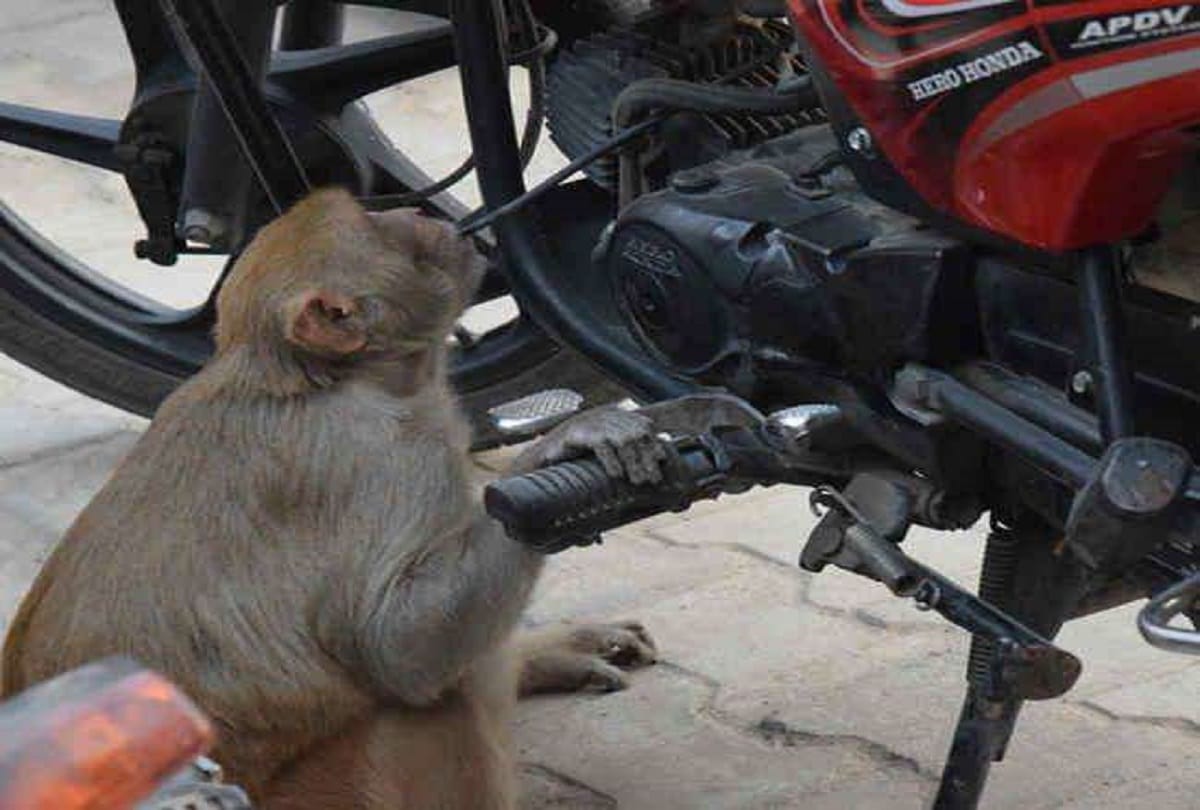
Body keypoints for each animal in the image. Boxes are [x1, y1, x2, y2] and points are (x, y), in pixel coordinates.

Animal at [0, 188, 666, 809]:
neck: (319, 377)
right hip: (344, 783)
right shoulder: (379, 456)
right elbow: (398, 645)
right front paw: (558, 450)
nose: (420, 212)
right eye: (376, 225)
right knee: (441, 687)